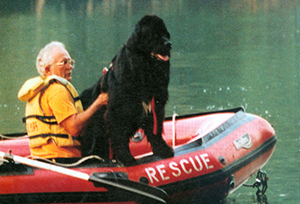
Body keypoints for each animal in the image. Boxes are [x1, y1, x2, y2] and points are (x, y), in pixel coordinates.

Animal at [79, 15, 173, 166]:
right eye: (154, 35)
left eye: (165, 34)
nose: (169, 44)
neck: (144, 72)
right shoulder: (118, 111)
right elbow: (119, 137)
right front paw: (126, 158)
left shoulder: (156, 106)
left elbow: (156, 131)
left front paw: (163, 150)